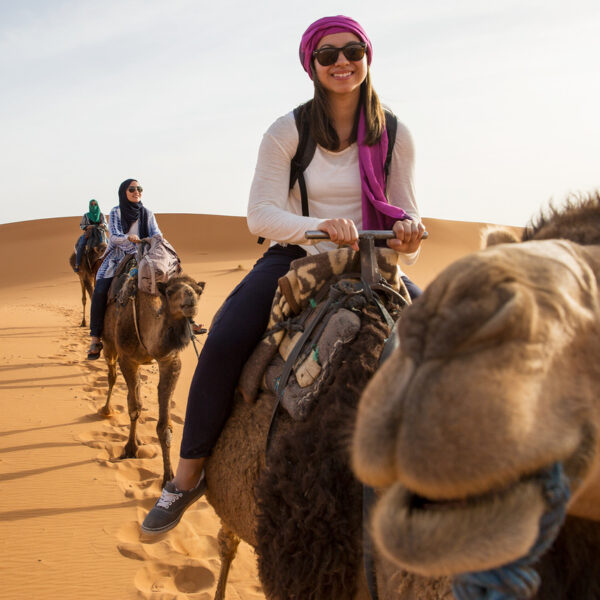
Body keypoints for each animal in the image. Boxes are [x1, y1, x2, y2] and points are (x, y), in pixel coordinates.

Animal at [99, 274, 205, 488]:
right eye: (170, 291)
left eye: (199, 291)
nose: (190, 298)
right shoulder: (127, 359)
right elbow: (134, 408)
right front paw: (130, 449)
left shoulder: (169, 361)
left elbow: (164, 425)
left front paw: (168, 477)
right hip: (109, 343)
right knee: (112, 375)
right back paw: (107, 410)